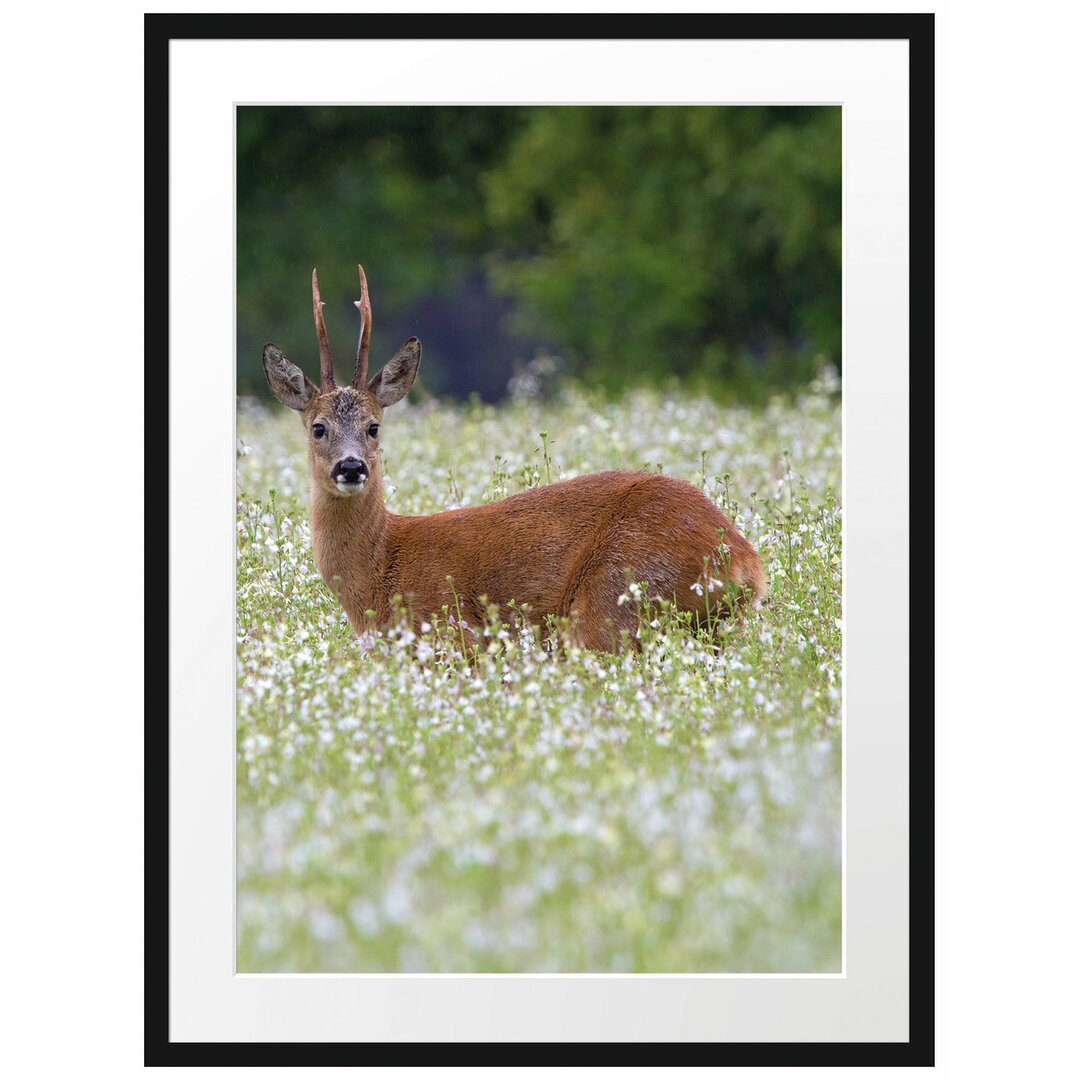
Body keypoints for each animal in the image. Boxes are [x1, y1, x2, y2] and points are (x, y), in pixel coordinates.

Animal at [261, 265, 768, 648]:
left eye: (374, 427)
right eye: (318, 427)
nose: (351, 467)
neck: (381, 568)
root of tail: (745, 560)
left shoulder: (450, 636)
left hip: (615, 600)